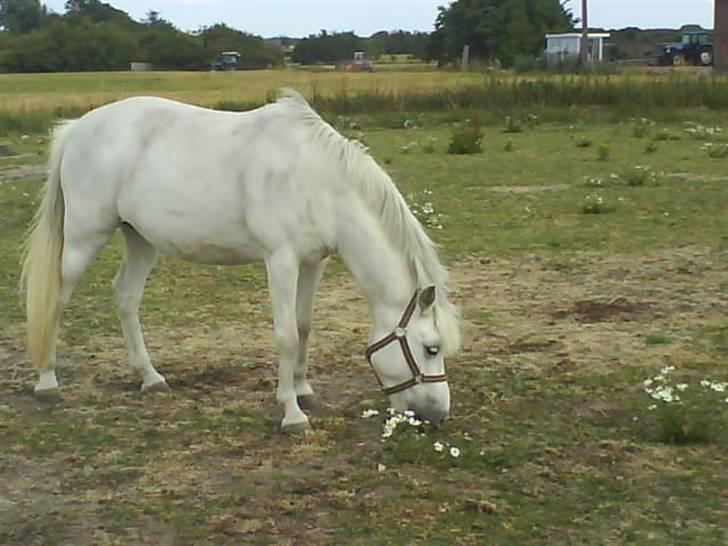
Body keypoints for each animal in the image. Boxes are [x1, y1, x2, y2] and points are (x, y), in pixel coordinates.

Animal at [21, 89, 460, 430]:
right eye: (431, 348)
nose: (438, 414)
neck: (317, 179)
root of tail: (76, 128)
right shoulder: (281, 260)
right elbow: (285, 335)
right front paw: (292, 413)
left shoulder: (313, 262)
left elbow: (304, 326)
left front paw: (304, 390)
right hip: (85, 236)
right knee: (57, 298)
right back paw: (47, 382)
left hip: (141, 238)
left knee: (126, 296)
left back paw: (150, 377)